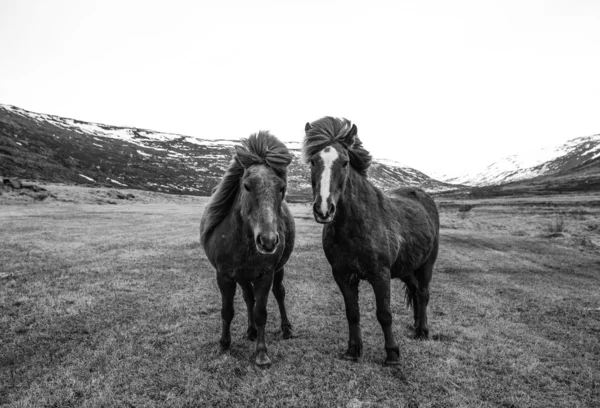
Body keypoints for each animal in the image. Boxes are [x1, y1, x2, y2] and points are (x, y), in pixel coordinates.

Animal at [202, 131, 296, 366]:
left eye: (281, 188)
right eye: (246, 185)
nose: (268, 241)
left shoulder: (265, 274)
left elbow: (261, 312)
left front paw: (261, 353)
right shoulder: (224, 275)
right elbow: (227, 311)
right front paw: (224, 347)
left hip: (277, 270)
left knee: (279, 293)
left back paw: (286, 329)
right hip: (242, 276)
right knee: (248, 298)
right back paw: (251, 330)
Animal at [302, 116, 438, 364]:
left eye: (345, 162)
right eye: (314, 162)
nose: (324, 209)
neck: (355, 227)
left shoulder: (380, 275)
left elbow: (384, 314)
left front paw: (392, 354)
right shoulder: (343, 275)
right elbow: (352, 313)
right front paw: (354, 350)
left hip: (427, 264)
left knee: (423, 294)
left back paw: (423, 331)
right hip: (406, 267)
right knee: (415, 292)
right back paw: (415, 327)